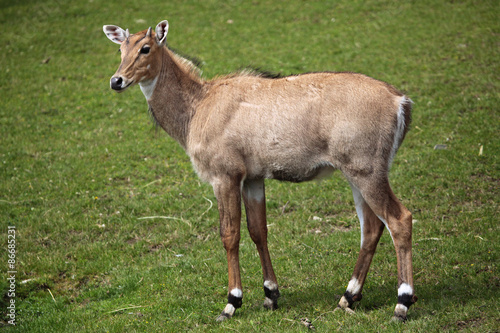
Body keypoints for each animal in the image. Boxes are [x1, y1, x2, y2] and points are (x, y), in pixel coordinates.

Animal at [102, 19, 418, 320]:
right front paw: (270, 295)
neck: (195, 110)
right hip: (356, 173)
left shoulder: (225, 175)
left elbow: (230, 234)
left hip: (366, 170)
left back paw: (402, 304)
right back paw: (348, 296)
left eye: (145, 48)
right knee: (372, 227)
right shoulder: (253, 178)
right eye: (120, 49)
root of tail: (401, 102)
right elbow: (258, 230)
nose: (117, 80)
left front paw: (232, 302)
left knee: (399, 219)